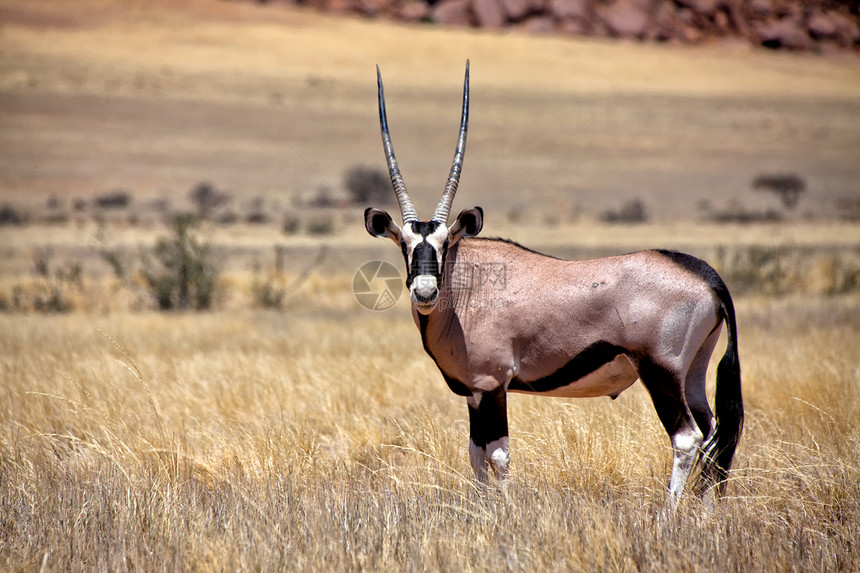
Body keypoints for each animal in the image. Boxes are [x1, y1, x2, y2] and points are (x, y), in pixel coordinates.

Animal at [366, 62, 744, 500]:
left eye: (445, 244)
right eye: (405, 244)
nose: (425, 291)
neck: (467, 289)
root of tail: (706, 276)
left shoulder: (492, 385)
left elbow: (498, 455)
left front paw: (503, 509)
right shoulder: (475, 394)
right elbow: (476, 455)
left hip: (660, 372)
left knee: (687, 439)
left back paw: (669, 513)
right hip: (694, 372)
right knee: (715, 436)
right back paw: (705, 511)